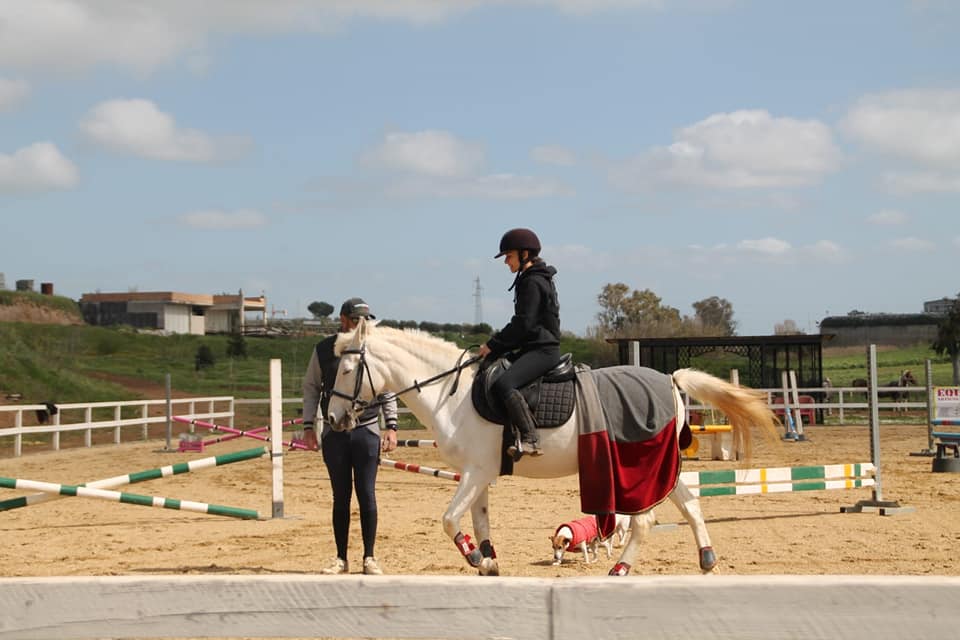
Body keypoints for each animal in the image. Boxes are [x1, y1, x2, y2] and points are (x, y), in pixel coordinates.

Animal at [325, 320, 780, 577]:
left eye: (347, 369)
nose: (332, 419)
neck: (449, 393)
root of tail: (670, 378)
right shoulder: (480, 474)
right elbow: (480, 521)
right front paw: (488, 562)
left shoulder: (475, 472)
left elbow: (449, 519)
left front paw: (473, 559)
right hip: (661, 464)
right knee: (689, 503)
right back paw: (706, 558)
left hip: (640, 464)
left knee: (646, 519)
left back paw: (621, 567)